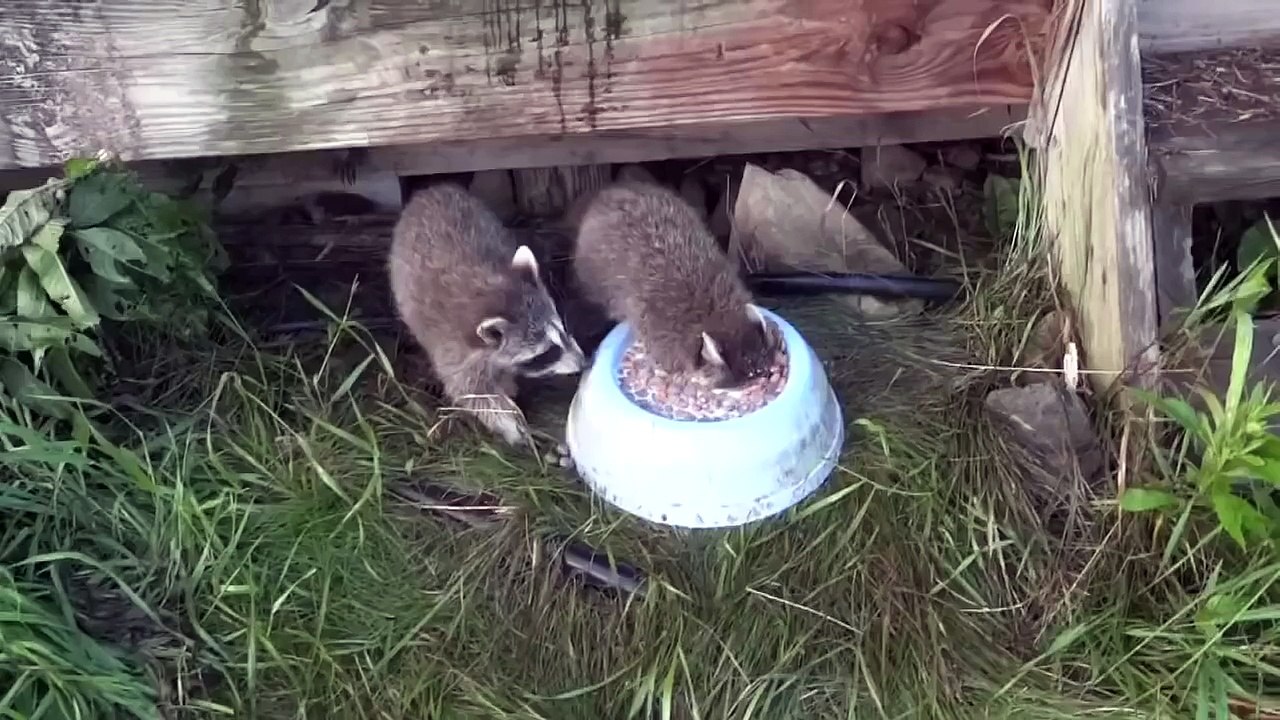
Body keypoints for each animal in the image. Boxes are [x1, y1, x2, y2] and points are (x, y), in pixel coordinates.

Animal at [388, 183, 585, 448]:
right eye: (546, 353)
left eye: (561, 331)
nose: (583, 362)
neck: (488, 297)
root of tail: (431, 190)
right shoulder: (456, 353)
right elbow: (473, 394)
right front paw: (510, 423)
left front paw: (507, 384)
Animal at [572, 181, 779, 387]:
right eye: (749, 376)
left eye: (764, 367)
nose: (766, 377)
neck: (719, 314)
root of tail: (607, 195)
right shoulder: (659, 328)